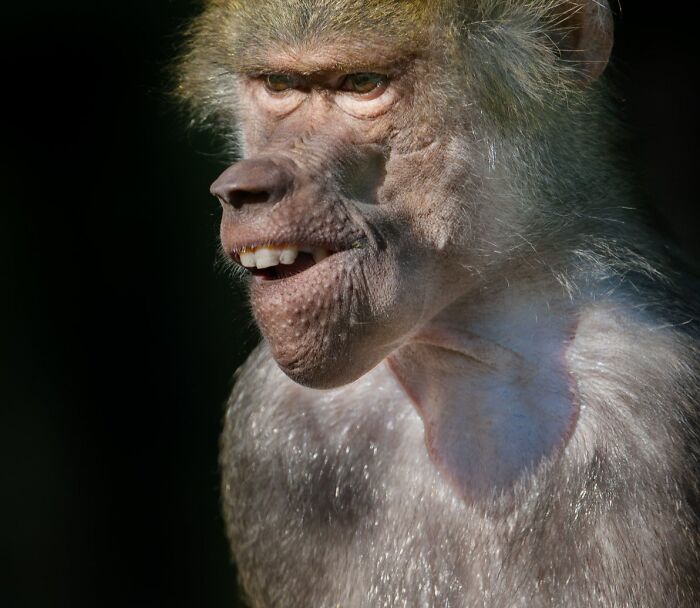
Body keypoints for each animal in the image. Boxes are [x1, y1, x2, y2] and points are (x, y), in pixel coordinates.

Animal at [176, 1, 700, 606]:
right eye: (279, 85)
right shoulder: (272, 424)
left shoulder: (653, 398)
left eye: (362, 84)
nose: (244, 190)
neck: (474, 359)